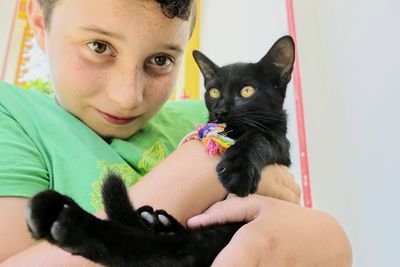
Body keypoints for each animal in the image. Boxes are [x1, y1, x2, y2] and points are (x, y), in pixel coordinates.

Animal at [25, 36, 294, 267]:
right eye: (213, 92)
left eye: (246, 91)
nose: (221, 112)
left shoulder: (281, 144)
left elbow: (259, 137)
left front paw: (236, 170)